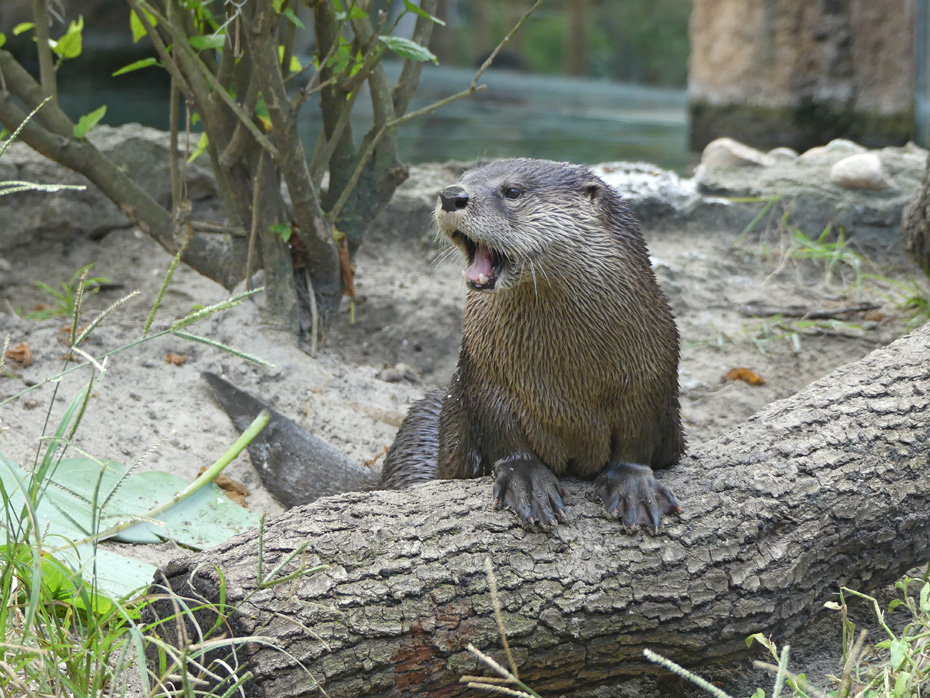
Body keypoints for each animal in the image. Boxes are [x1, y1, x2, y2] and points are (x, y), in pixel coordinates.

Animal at [378, 158, 680, 528]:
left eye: (512, 191)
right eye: (463, 178)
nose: (451, 195)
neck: (566, 384)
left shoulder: (652, 376)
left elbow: (638, 439)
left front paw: (635, 486)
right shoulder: (485, 376)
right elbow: (503, 433)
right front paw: (527, 482)